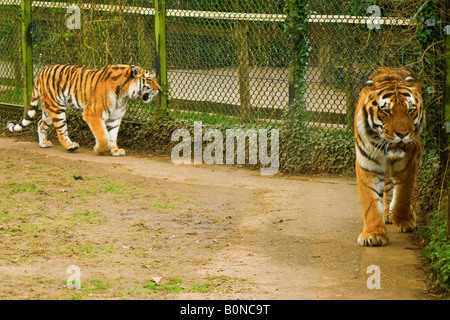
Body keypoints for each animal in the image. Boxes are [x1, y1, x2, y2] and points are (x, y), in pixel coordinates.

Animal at [7, 63, 160, 156]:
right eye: (150, 79)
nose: (160, 89)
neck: (124, 95)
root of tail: (40, 72)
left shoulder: (115, 118)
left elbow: (112, 136)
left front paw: (115, 150)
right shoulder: (93, 114)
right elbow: (103, 136)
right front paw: (100, 149)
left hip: (48, 110)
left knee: (40, 124)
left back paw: (43, 143)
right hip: (56, 109)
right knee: (61, 130)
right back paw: (70, 146)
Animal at [354, 67, 424, 248]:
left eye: (410, 110)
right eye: (386, 111)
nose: (402, 134)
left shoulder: (408, 163)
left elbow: (402, 196)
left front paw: (404, 222)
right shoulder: (367, 164)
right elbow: (370, 202)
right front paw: (372, 235)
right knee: (387, 187)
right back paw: (386, 213)